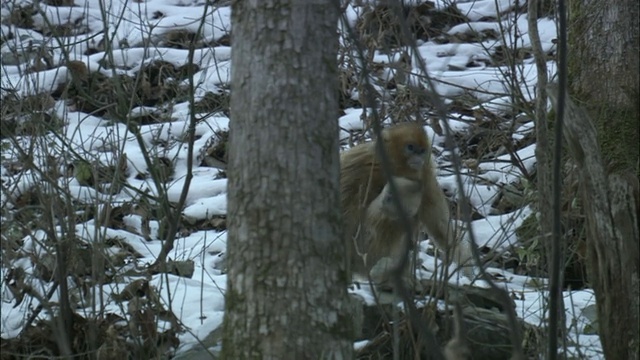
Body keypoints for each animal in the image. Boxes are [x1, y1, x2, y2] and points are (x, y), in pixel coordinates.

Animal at [340, 124, 470, 286]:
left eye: (422, 150)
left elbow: (439, 226)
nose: (418, 157)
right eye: (410, 147)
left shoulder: (425, 173)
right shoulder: (361, 162)